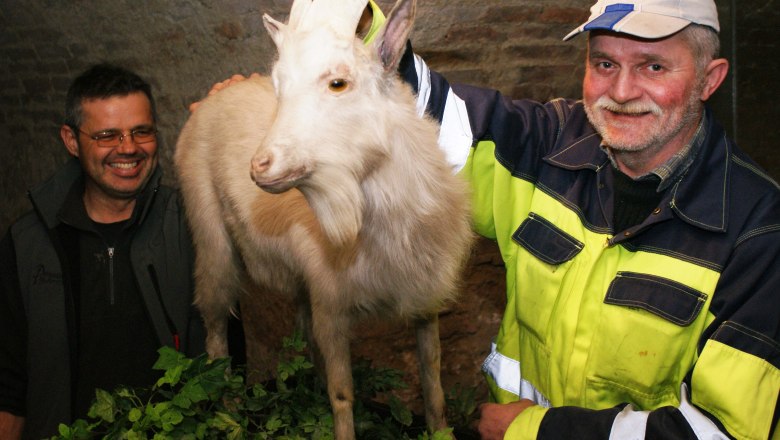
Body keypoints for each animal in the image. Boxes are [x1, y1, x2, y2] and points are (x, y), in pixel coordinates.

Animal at [174, 0, 472, 436]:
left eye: (338, 83)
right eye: (279, 87)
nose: (260, 166)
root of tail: (214, 97)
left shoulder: (424, 296)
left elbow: (432, 376)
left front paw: (439, 430)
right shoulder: (332, 305)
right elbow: (343, 394)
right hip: (211, 237)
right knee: (215, 324)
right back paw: (228, 412)